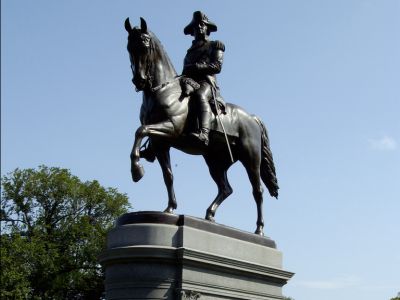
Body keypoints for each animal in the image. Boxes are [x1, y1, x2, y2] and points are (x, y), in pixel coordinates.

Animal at [125, 17, 278, 236]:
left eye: (145, 45)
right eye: (129, 47)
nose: (139, 80)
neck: (162, 90)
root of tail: (252, 118)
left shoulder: (170, 128)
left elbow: (140, 131)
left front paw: (137, 171)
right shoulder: (161, 143)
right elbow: (168, 175)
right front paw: (170, 207)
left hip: (251, 159)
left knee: (257, 191)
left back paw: (259, 229)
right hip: (215, 161)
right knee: (225, 188)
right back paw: (209, 215)